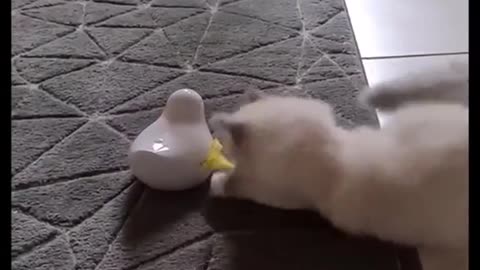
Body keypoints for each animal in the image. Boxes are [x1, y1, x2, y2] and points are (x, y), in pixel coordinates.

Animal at [210, 72, 468, 270]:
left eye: (223, 144)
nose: (219, 147)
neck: (334, 153)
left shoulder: (279, 193)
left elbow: (236, 184)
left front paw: (216, 180)